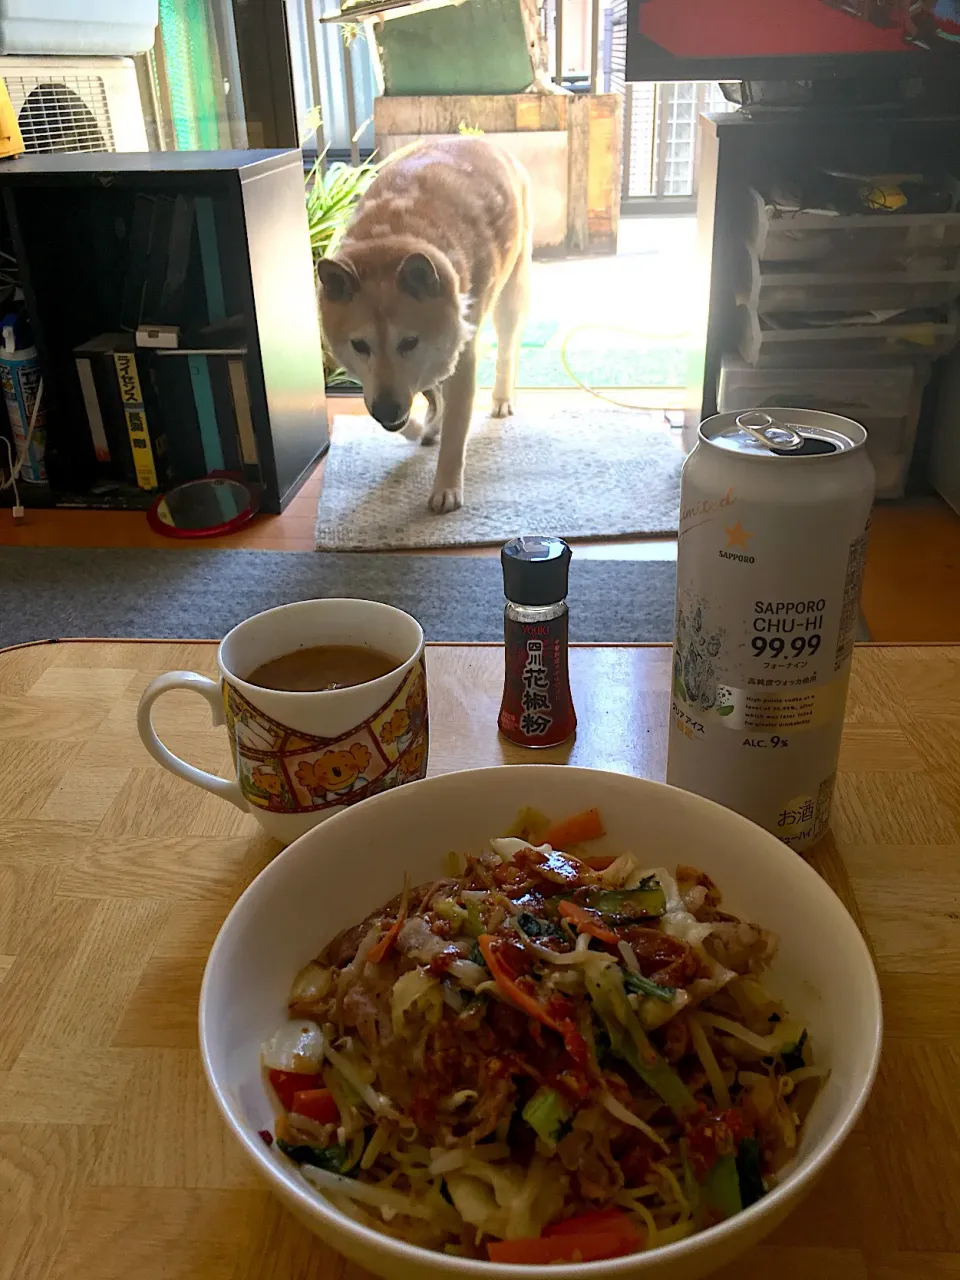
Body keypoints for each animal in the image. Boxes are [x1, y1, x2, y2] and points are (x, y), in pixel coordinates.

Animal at [321, 131, 535, 509]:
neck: (393, 236)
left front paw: (446, 488)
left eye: (409, 341)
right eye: (360, 345)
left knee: (507, 350)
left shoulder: (461, 357)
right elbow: (421, 406)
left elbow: (455, 429)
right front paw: (422, 428)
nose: (387, 411)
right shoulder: (379, 384)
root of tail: (482, 142)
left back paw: (501, 400)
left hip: (511, 294)